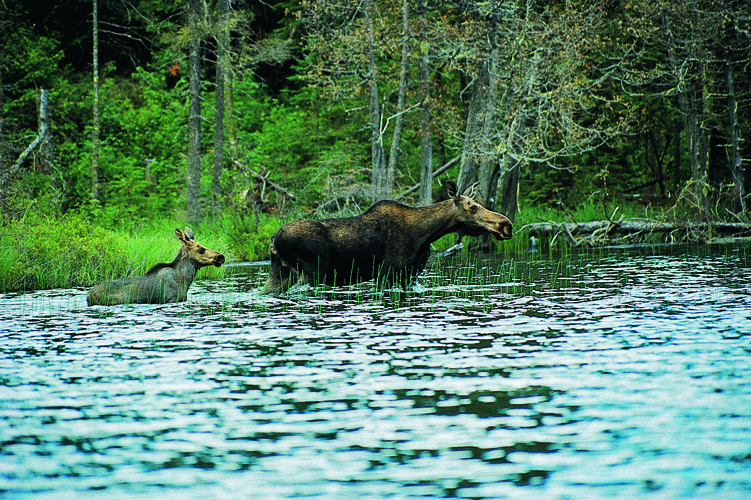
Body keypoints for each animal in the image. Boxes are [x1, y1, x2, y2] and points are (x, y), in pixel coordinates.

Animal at [262, 182, 516, 294]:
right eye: (472, 207)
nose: (506, 225)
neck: (425, 234)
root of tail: (273, 239)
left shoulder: (410, 275)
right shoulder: (387, 272)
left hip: (280, 272)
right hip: (313, 271)